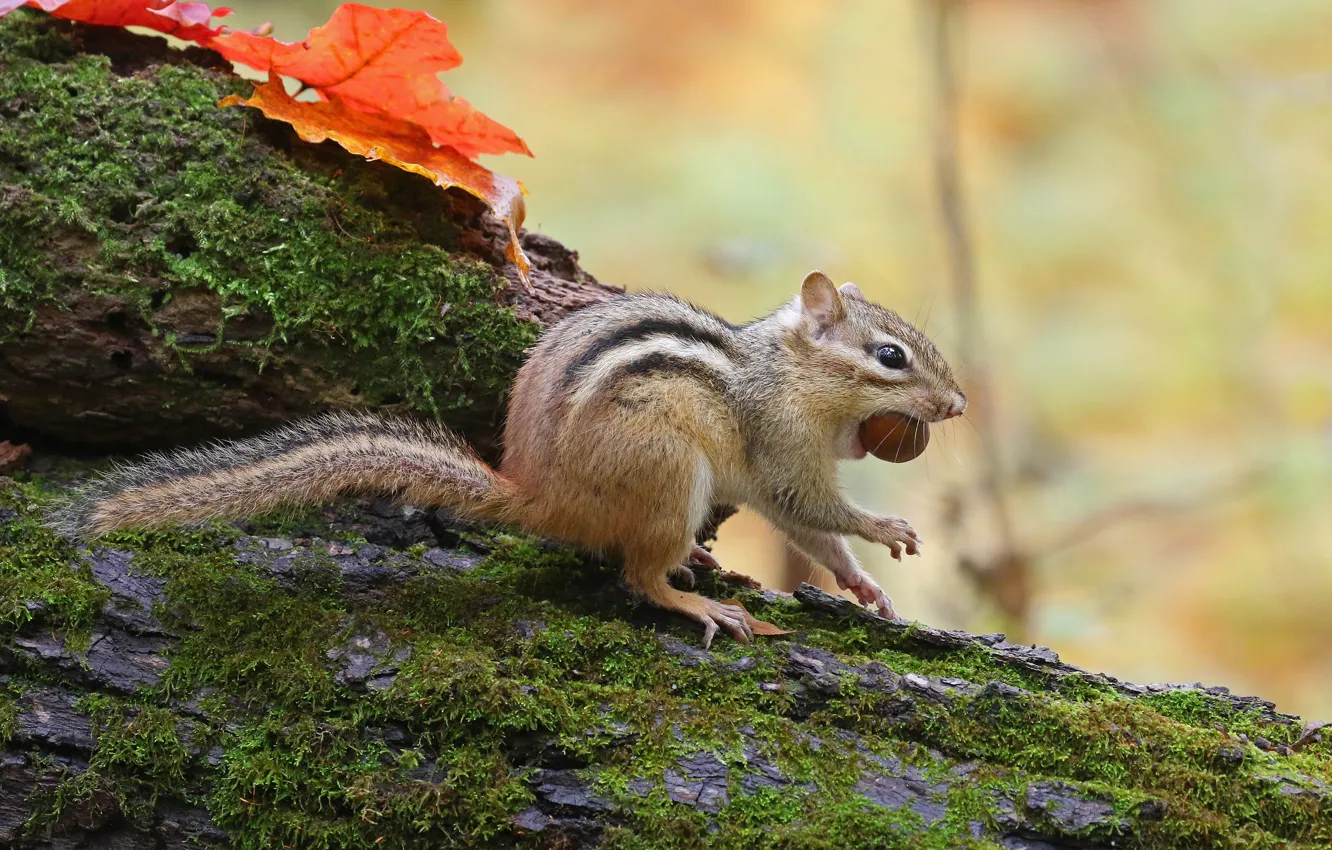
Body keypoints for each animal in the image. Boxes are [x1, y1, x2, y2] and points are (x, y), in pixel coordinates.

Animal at [50, 271, 966, 647]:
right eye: (891, 358)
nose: (958, 406)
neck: (787, 373)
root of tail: (538, 495)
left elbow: (816, 539)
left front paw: (865, 587)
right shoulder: (779, 448)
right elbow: (814, 509)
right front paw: (888, 527)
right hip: (670, 472)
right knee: (637, 576)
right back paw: (695, 599)